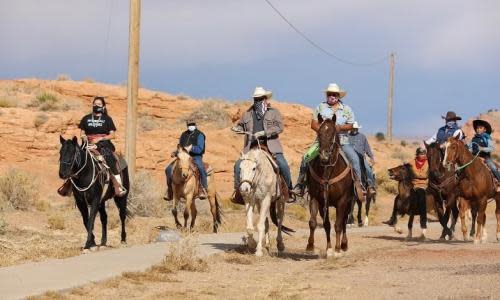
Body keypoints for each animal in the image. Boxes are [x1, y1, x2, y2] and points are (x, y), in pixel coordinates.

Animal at [304, 116, 356, 256]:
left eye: (333, 133)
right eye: (319, 133)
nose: (324, 155)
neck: (328, 171)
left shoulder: (342, 201)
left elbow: (338, 224)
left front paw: (337, 250)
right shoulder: (317, 199)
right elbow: (315, 222)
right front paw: (311, 246)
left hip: (349, 202)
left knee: (344, 222)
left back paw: (343, 245)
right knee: (328, 224)